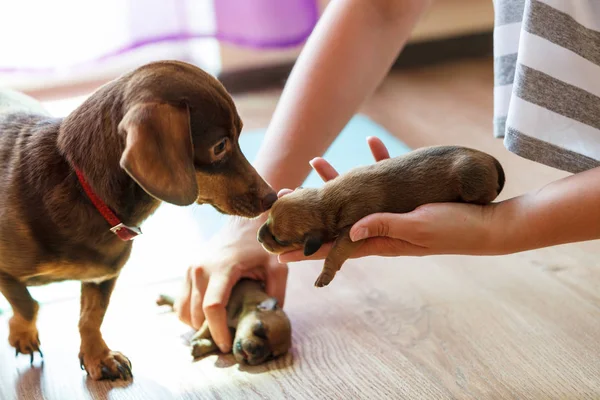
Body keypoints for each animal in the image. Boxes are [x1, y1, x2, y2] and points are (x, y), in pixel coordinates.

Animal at [0, 60, 276, 382]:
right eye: (220, 146)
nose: (271, 198)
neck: (82, 187)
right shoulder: (6, 272)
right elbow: (27, 305)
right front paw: (23, 336)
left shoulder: (103, 277)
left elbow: (91, 318)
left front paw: (98, 356)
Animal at [156, 278, 292, 366]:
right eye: (260, 330)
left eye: (270, 356)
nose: (255, 352)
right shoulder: (216, 312)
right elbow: (205, 328)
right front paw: (196, 338)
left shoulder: (226, 336)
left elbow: (216, 343)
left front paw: (200, 346)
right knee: (176, 301)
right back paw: (162, 299)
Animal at [255, 145, 504, 286]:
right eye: (267, 219)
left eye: (279, 239)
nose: (258, 237)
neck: (327, 202)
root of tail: (491, 159)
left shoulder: (351, 230)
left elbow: (335, 253)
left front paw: (325, 275)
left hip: (471, 183)